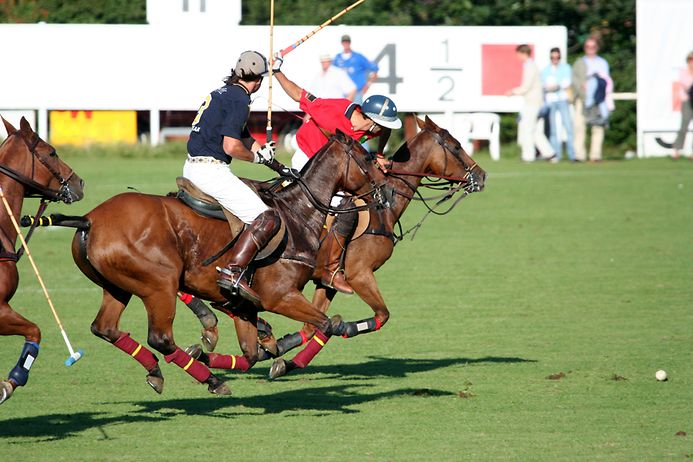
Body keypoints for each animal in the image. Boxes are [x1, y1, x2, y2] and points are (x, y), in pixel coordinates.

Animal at [64, 132, 384, 396]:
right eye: (368, 158)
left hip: (117, 286)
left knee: (104, 328)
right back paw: (211, 380)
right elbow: (327, 324)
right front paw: (287, 360)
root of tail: (90, 220)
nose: (384, 193)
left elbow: (251, 353)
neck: (298, 214)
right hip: (158, 286)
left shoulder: (245, 307)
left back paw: (160, 370)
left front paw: (209, 352)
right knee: (161, 338)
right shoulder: (280, 296)